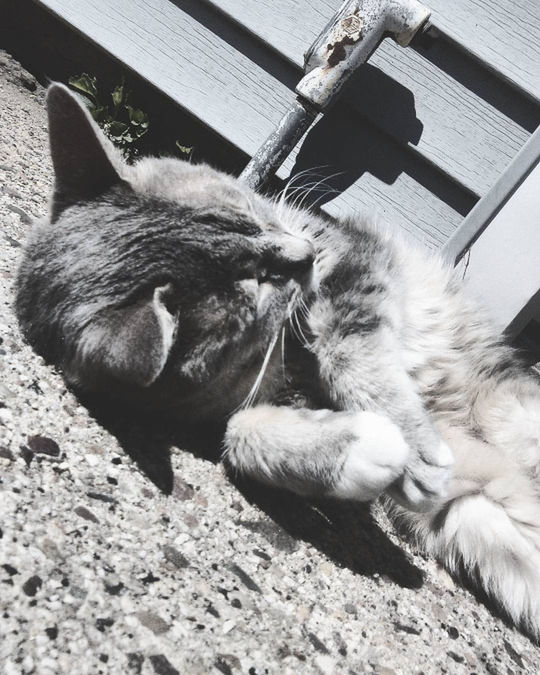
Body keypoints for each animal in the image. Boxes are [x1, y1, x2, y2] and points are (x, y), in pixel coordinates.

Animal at [13, 84, 540, 640]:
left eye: (245, 214)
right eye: (253, 286)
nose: (304, 255)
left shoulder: (353, 262)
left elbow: (347, 347)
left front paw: (415, 449)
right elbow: (241, 431)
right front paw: (357, 450)